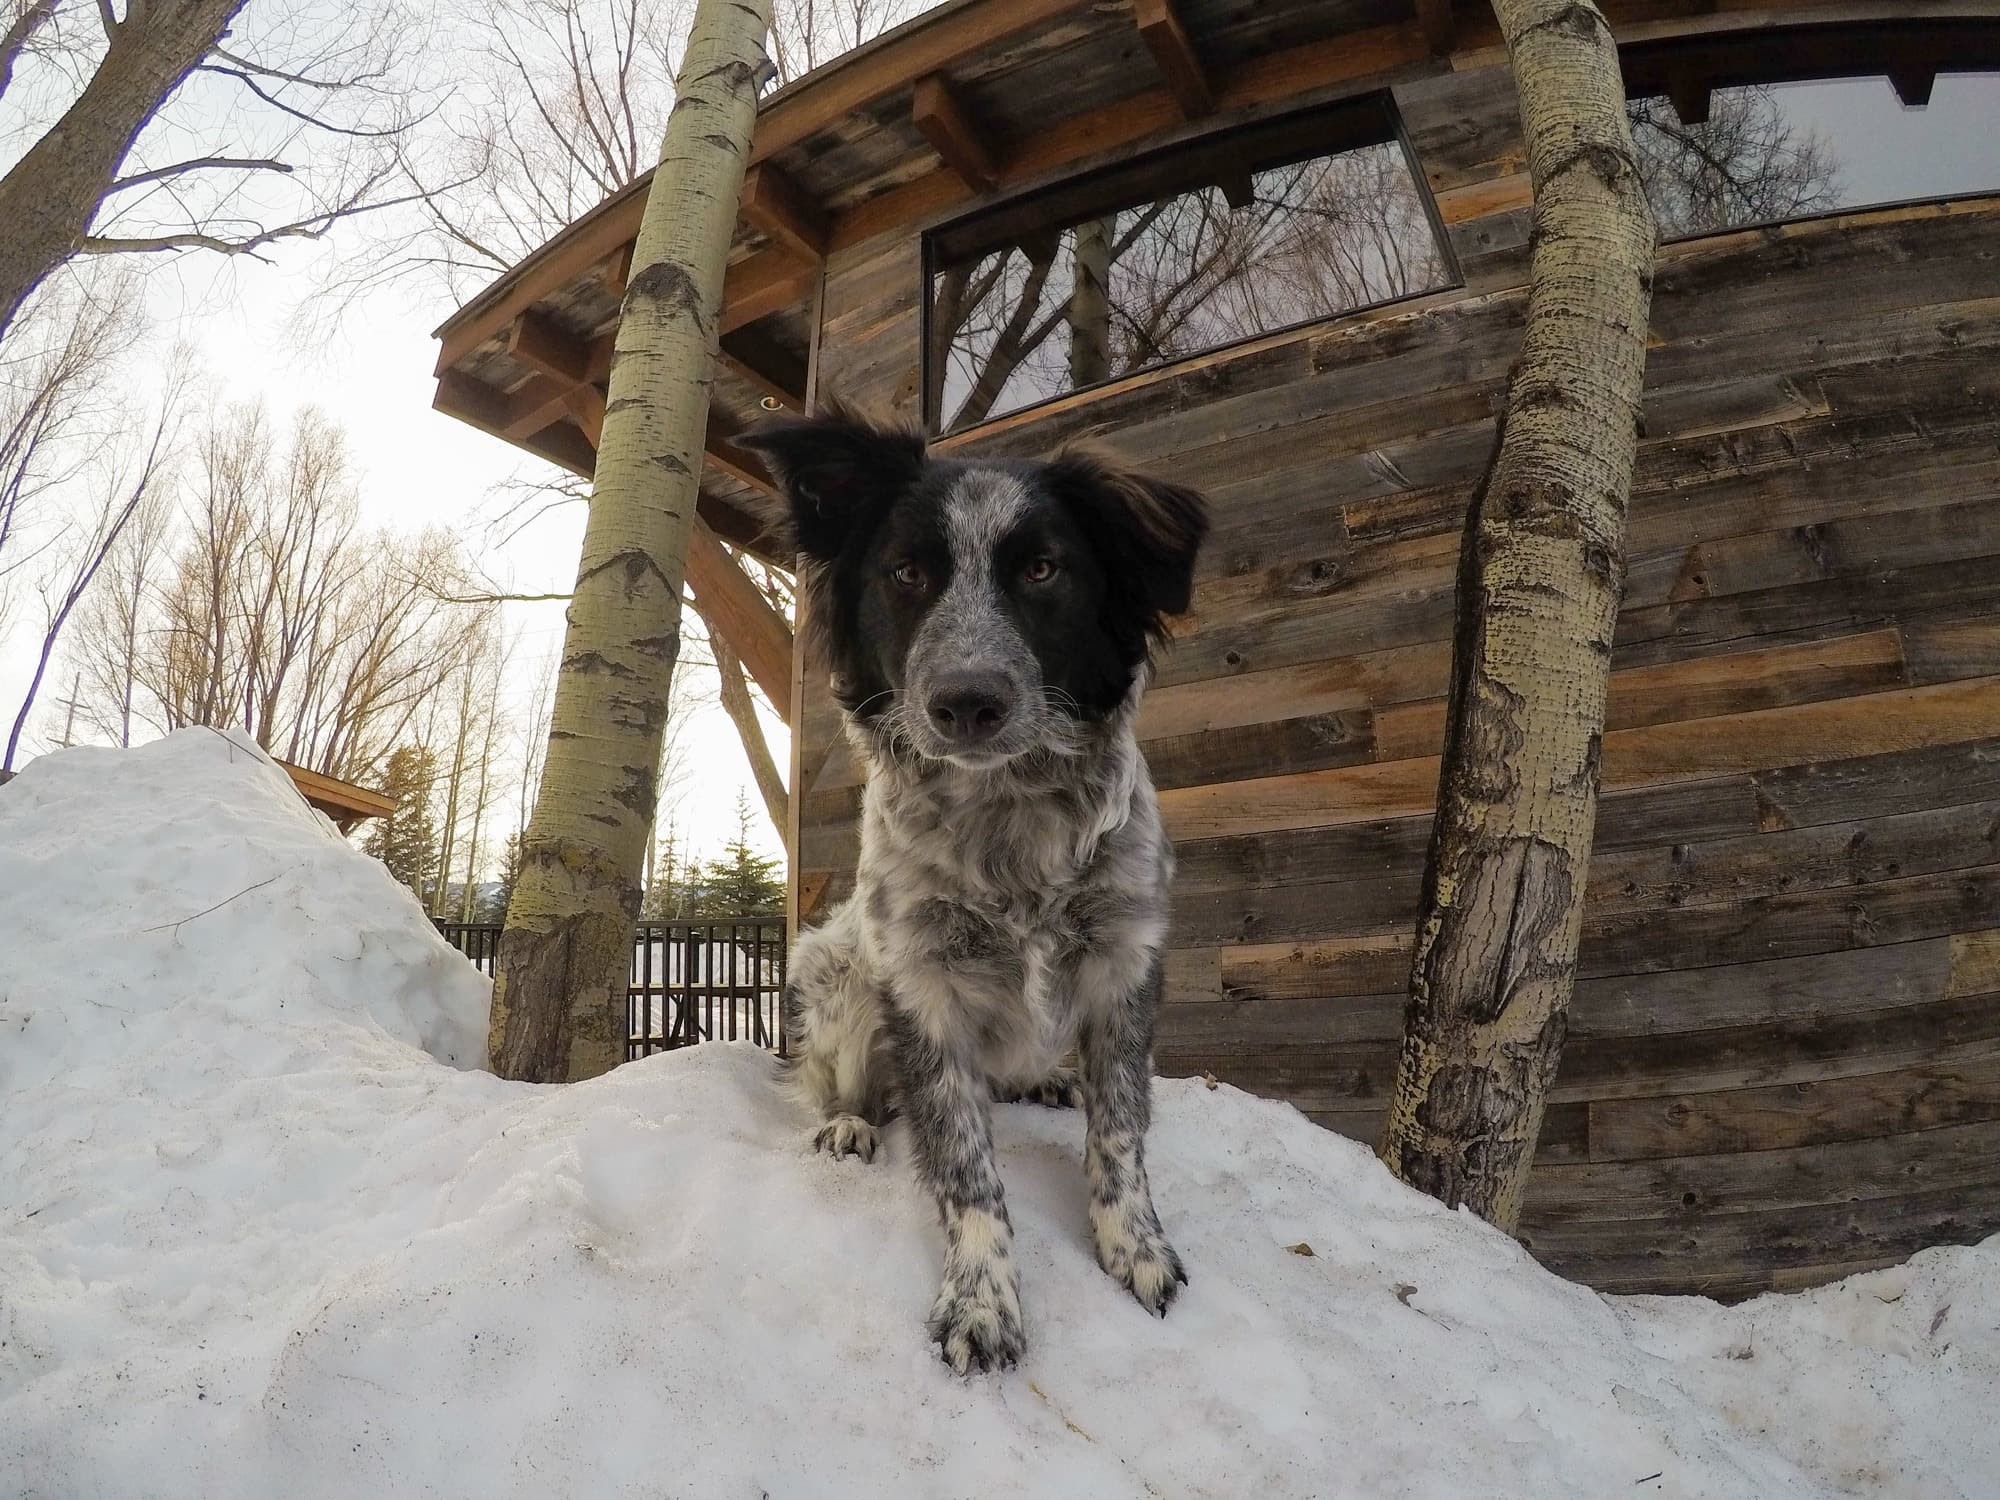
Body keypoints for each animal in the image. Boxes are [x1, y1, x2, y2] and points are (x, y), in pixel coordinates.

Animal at [736, 406, 1200, 1384]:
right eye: (907, 572)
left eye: (1043, 568)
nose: (967, 702)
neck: (1007, 823)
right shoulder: (921, 986)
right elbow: (966, 1166)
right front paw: (982, 1300)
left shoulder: (1126, 962)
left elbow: (1122, 1132)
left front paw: (1134, 1246)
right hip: (836, 971)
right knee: (840, 1086)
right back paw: (851, 1126)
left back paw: (1047, 1083)